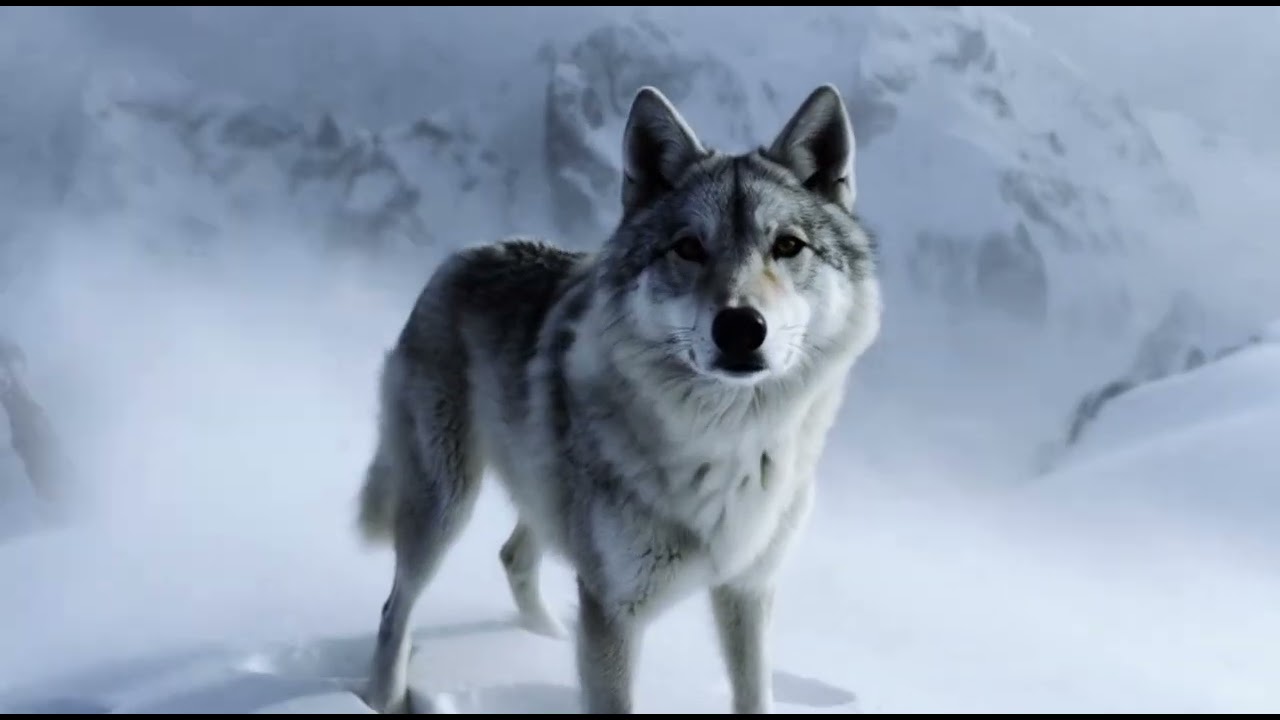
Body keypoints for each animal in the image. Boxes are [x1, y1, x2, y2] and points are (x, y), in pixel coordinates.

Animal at [355, 83, 882, 714]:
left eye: (787, 245)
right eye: (688, 247)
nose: (740, 327)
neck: (727, 446)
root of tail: (469, 253)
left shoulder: (748, 590)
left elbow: (755, 695)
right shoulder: (613, 610)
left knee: (512, 556)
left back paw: (545, 636)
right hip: (446, 504)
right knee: (395, 607)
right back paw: (382, 697)